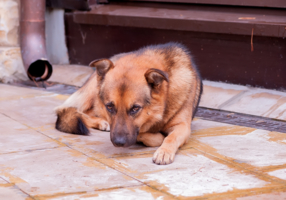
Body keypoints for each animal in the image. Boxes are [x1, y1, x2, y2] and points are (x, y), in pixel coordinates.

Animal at [55, 43, 202, 165]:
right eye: (110, 106)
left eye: (135, 108)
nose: (118, 143)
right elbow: (157, 138)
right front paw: (155, 138)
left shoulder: (183, 127)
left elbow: (171, 137)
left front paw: (164, 151)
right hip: (91, 93)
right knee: (70, 109)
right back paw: (101, 122)